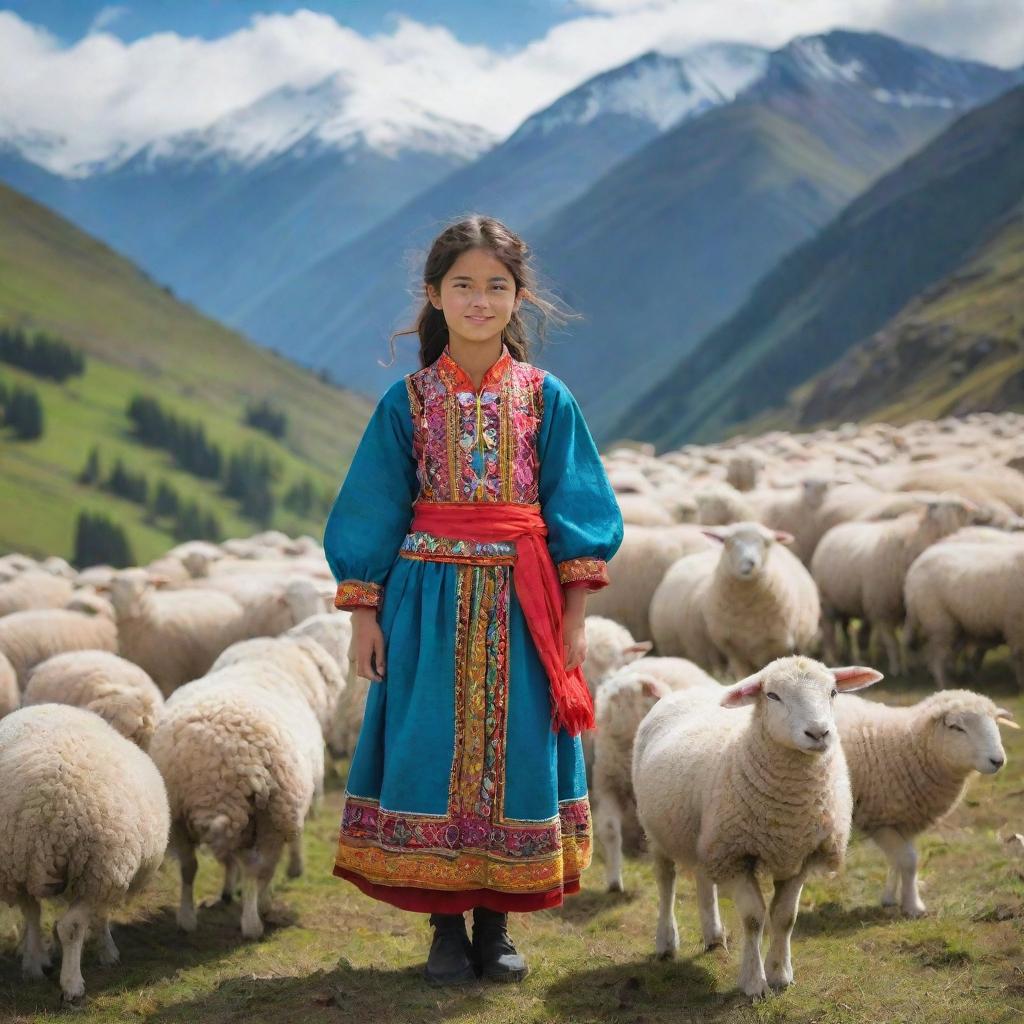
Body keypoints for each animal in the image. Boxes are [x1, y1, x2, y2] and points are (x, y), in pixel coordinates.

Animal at [0, 704, 169, 1007]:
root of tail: (45, 806)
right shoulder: (110, 872)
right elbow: (99, 916)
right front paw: (107, 952)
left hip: (16, 862)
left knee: (31, 911)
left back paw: (34, 963)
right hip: (100, 865)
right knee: (70, 925)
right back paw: (72, 985)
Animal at [630, 655, 880, 999]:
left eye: (832, 692)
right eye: (772, 695)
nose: (818, 733)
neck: (788, 810)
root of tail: (680, 691)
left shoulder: (799, 854)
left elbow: (785, 917)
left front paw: (781, 974)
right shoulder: (737, 855)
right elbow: (753, 919)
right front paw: (753, 982)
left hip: (707, 834)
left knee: (703, 878)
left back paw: (714, 936)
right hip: (658, 831)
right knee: (666, 883)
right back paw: (666, 942)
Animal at [835, 692, 1011, 917]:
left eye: (996, 722)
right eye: (956, 727)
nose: (998, 761)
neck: (899, 745)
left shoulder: (905, 818)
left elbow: (901, 860)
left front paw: (891, 898)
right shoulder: (878, 820)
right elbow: (908, 861)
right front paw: (913, 906)